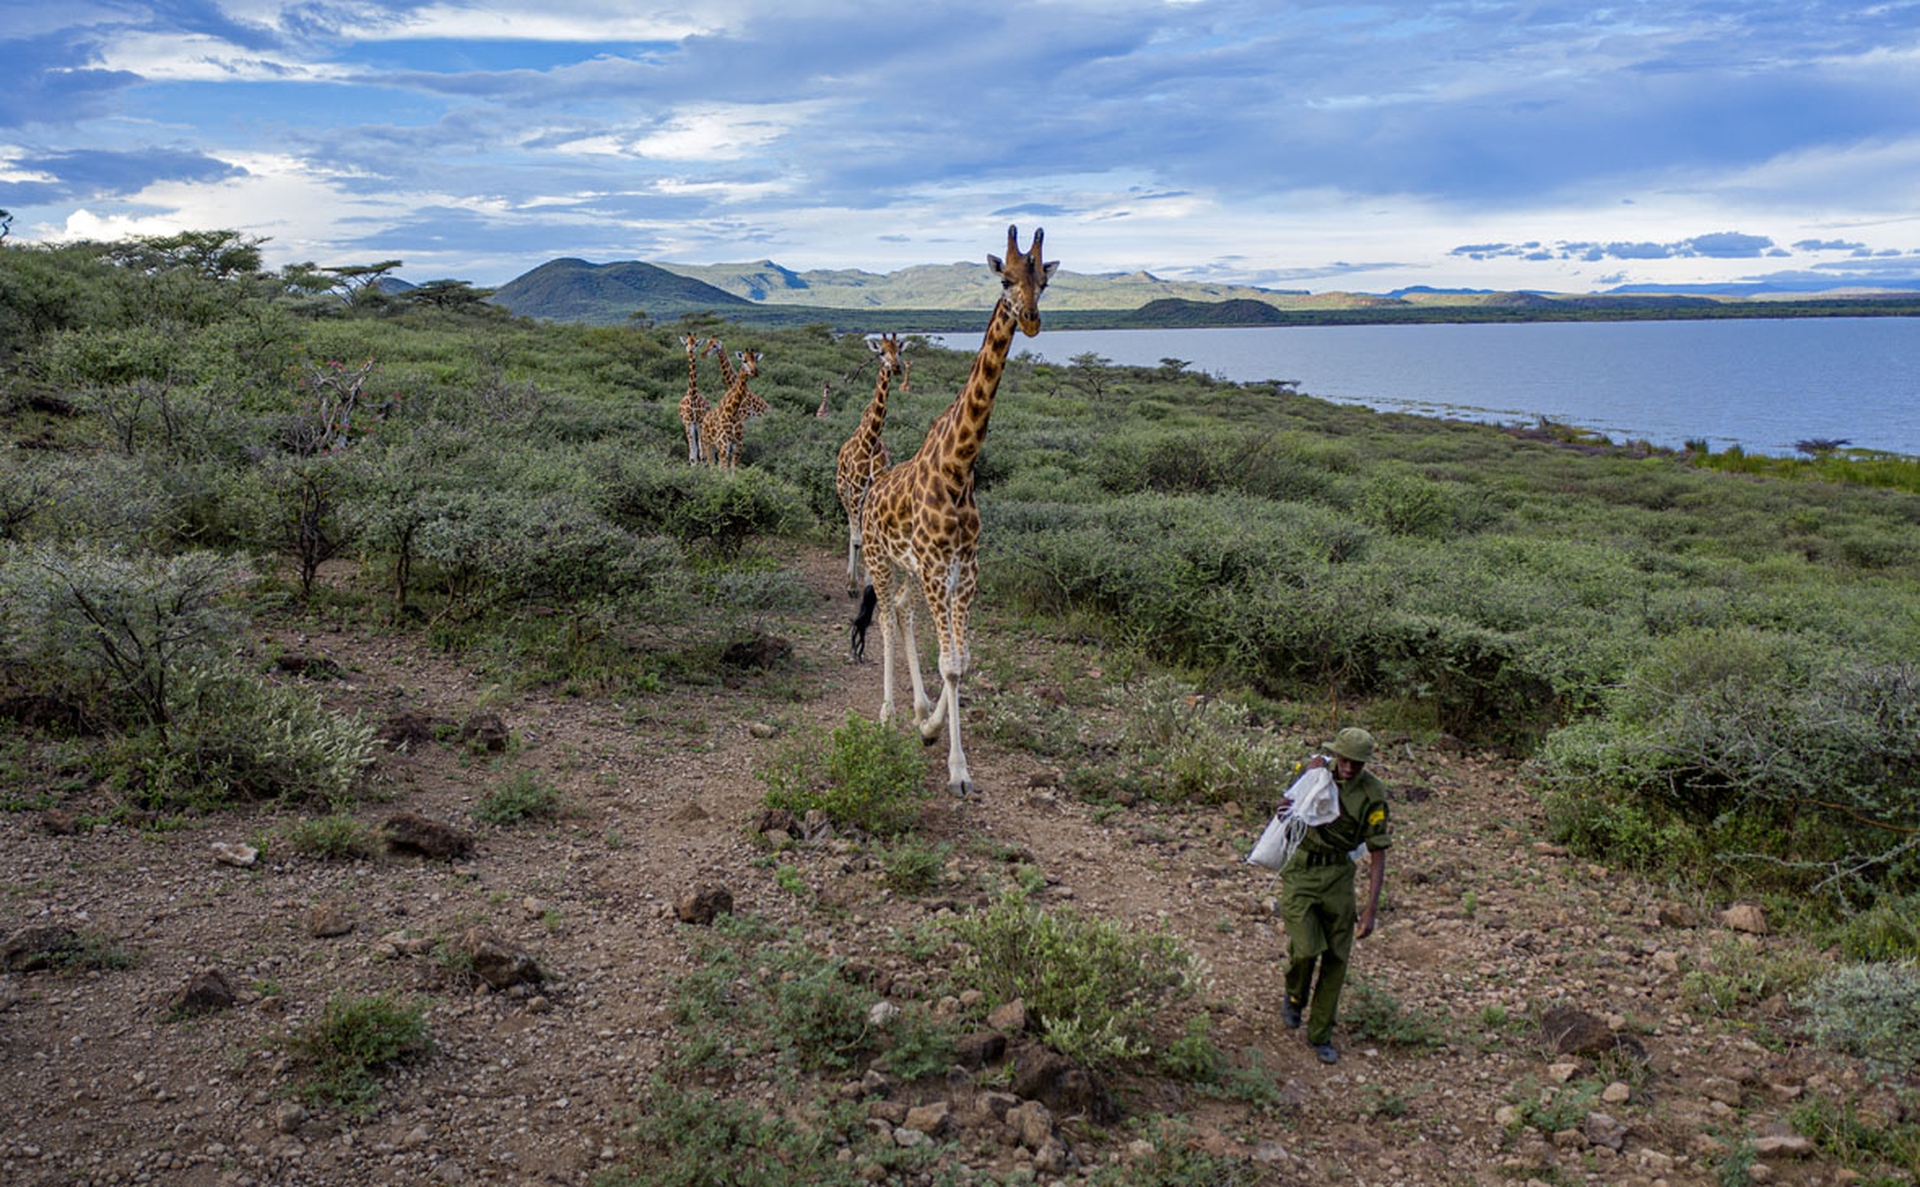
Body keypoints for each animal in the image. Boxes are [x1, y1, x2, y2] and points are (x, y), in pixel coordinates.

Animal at [834, 333, 905, 599]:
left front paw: (869, 583)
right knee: (851, 529)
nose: (896, 367)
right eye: (881, 352)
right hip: (843, 490)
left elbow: (869, 538)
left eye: (899, 350)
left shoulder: (873, 492)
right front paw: (853, 585)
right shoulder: (856, 490)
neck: (871, 442)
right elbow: (858, 539)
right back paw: (850, 579)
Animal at [851, 227, 1055, 795]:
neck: (959, 467)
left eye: (1044, 280)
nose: (1031, 319)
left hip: (908, 569)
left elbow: (961, 661)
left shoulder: (965, 570)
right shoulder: (938, 568)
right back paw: (886, 712)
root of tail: (872, 491)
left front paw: (933, 729)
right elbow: (950, 662)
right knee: (886, 619)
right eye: (1005, 279)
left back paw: (918, 708)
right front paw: (957, 769)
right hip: (881, 559)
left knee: (900, 609)